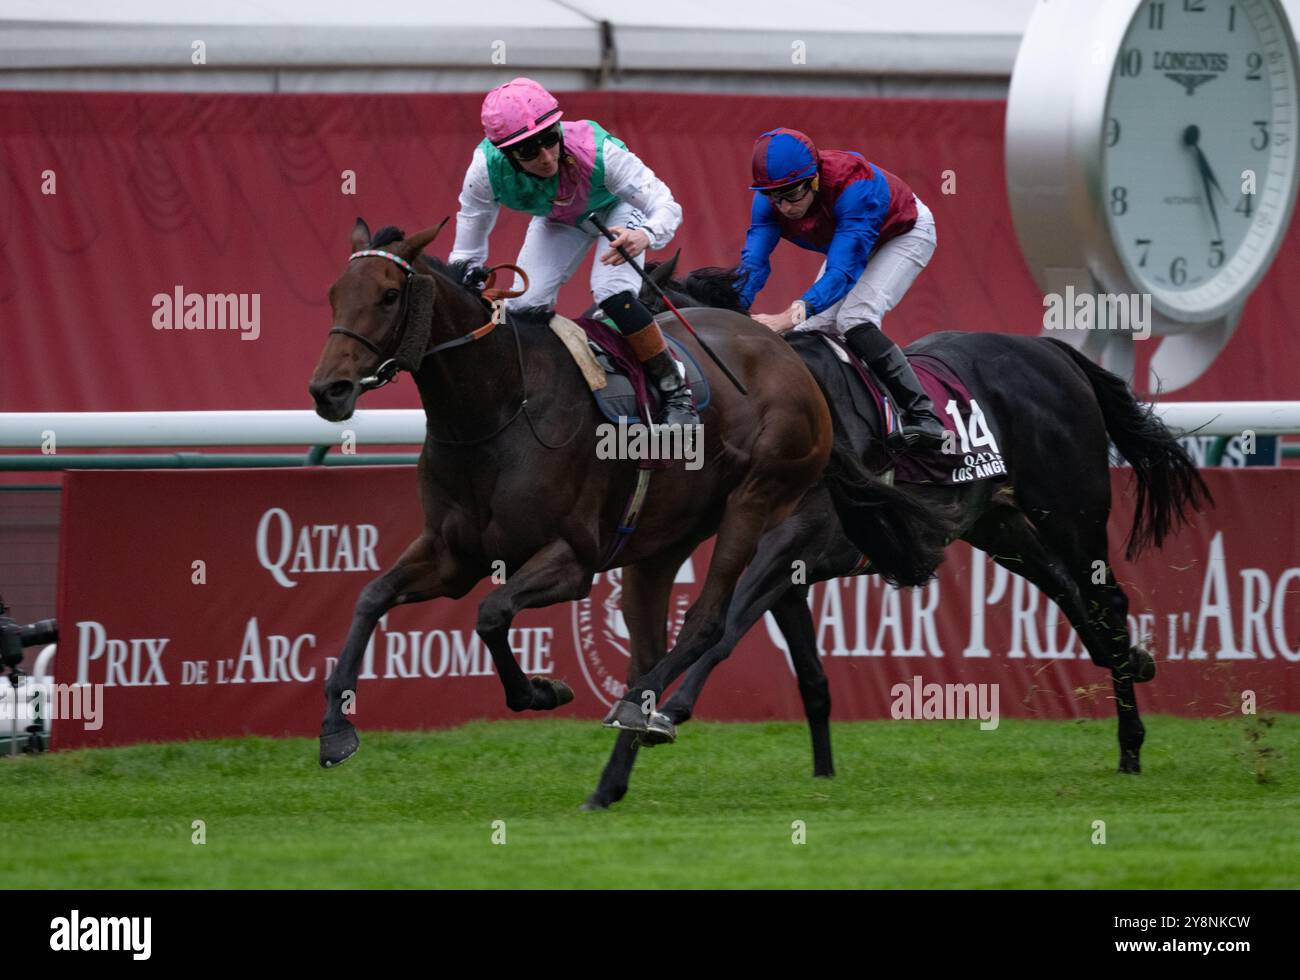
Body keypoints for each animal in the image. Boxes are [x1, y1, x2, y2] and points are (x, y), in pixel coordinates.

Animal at [305, 220, 956, 769]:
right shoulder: (452, 554)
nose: (327, 389)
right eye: (335, 293)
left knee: (709, 620)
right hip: (664, 541)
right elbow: (371, 596)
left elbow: (491, 614)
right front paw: (336, 730)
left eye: (390, 295)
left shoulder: (572, 559)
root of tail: (796, 367)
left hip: (757, 500)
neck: (499, 409)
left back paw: (640, 706)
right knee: (658, 631)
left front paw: (542, 689)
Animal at [579, 253, 1206, 811]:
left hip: (1072, 509)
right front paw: (822, 773)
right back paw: (1132, 664)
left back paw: (1131, 744)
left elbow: (727, 628)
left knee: (1106, 597)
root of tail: (1055, 353)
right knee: (1069, 592)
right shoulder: (785, 569)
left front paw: (664, 712)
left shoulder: (791, 546)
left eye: (629, 325)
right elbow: (807, 675)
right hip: (999, 525)